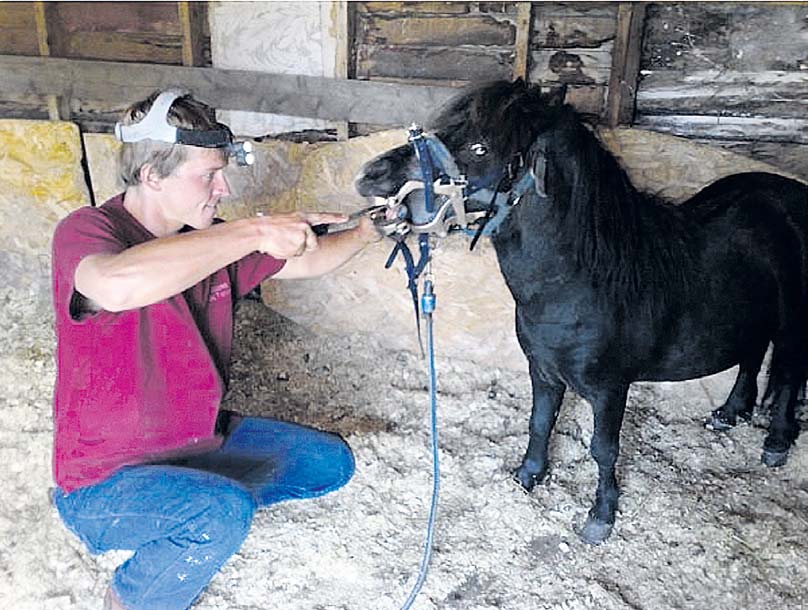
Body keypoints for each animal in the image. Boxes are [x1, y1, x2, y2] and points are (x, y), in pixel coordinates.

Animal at [356, 79, 808, 540]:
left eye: (480, 147)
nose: (371, 175)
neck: (583, 284)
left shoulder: (610, 390)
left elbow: (603, 449)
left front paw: (601, 516)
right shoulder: (543, 372)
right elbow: (540, 423)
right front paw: (528, 476)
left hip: (793, 326)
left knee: (790, 375)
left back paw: (776, 442)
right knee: (752, 355)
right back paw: (730, 413)